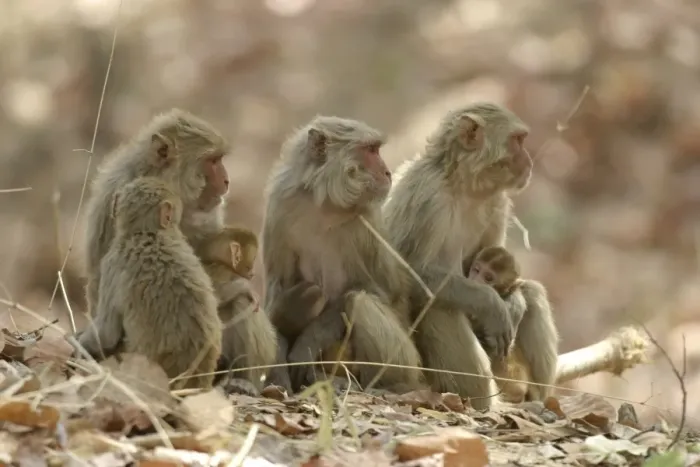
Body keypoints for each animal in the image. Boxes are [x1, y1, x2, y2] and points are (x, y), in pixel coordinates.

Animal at [194, 225, 278, 394]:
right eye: (253, 259)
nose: (253, 273)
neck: (215, 261)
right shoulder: (224, 272)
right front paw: (246, 288)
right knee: (242, 301)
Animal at [261, 115, 425, 393]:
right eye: (371, 150)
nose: (387, 172)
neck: (324, 203)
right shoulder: (280, 205)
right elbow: (280, 285)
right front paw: (278, 364)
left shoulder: (364, 223)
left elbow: (378, 291)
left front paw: (307, 342)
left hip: (408, 362)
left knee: (360, 302)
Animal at [383, 102, 558, 409]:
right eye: (518, 141)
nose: (528, 161)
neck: (463, 186)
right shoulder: (428, 199)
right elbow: (408, 275)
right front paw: (491, 304)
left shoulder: (497, 202)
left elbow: (507, 271)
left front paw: (512, 302)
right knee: (440, 305)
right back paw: (482, 402)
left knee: (533, 293)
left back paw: (537, 399)